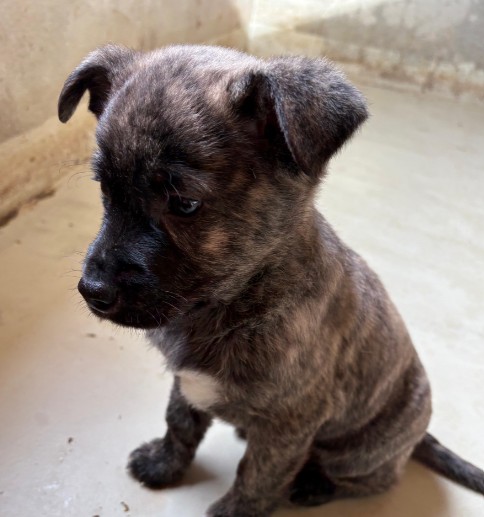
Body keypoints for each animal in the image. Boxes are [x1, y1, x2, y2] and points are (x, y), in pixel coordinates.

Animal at [58, 44, 484, 516]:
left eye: (184, 203)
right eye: (105, 190)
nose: (92, 291)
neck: (240, 299)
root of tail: (419, 437)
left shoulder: (288, 425)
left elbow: (257, 477)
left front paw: (232, 510)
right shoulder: (187, 383)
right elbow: (180, 422)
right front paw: (164, 463)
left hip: (359, 452)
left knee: (367, 477)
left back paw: (315, 485)